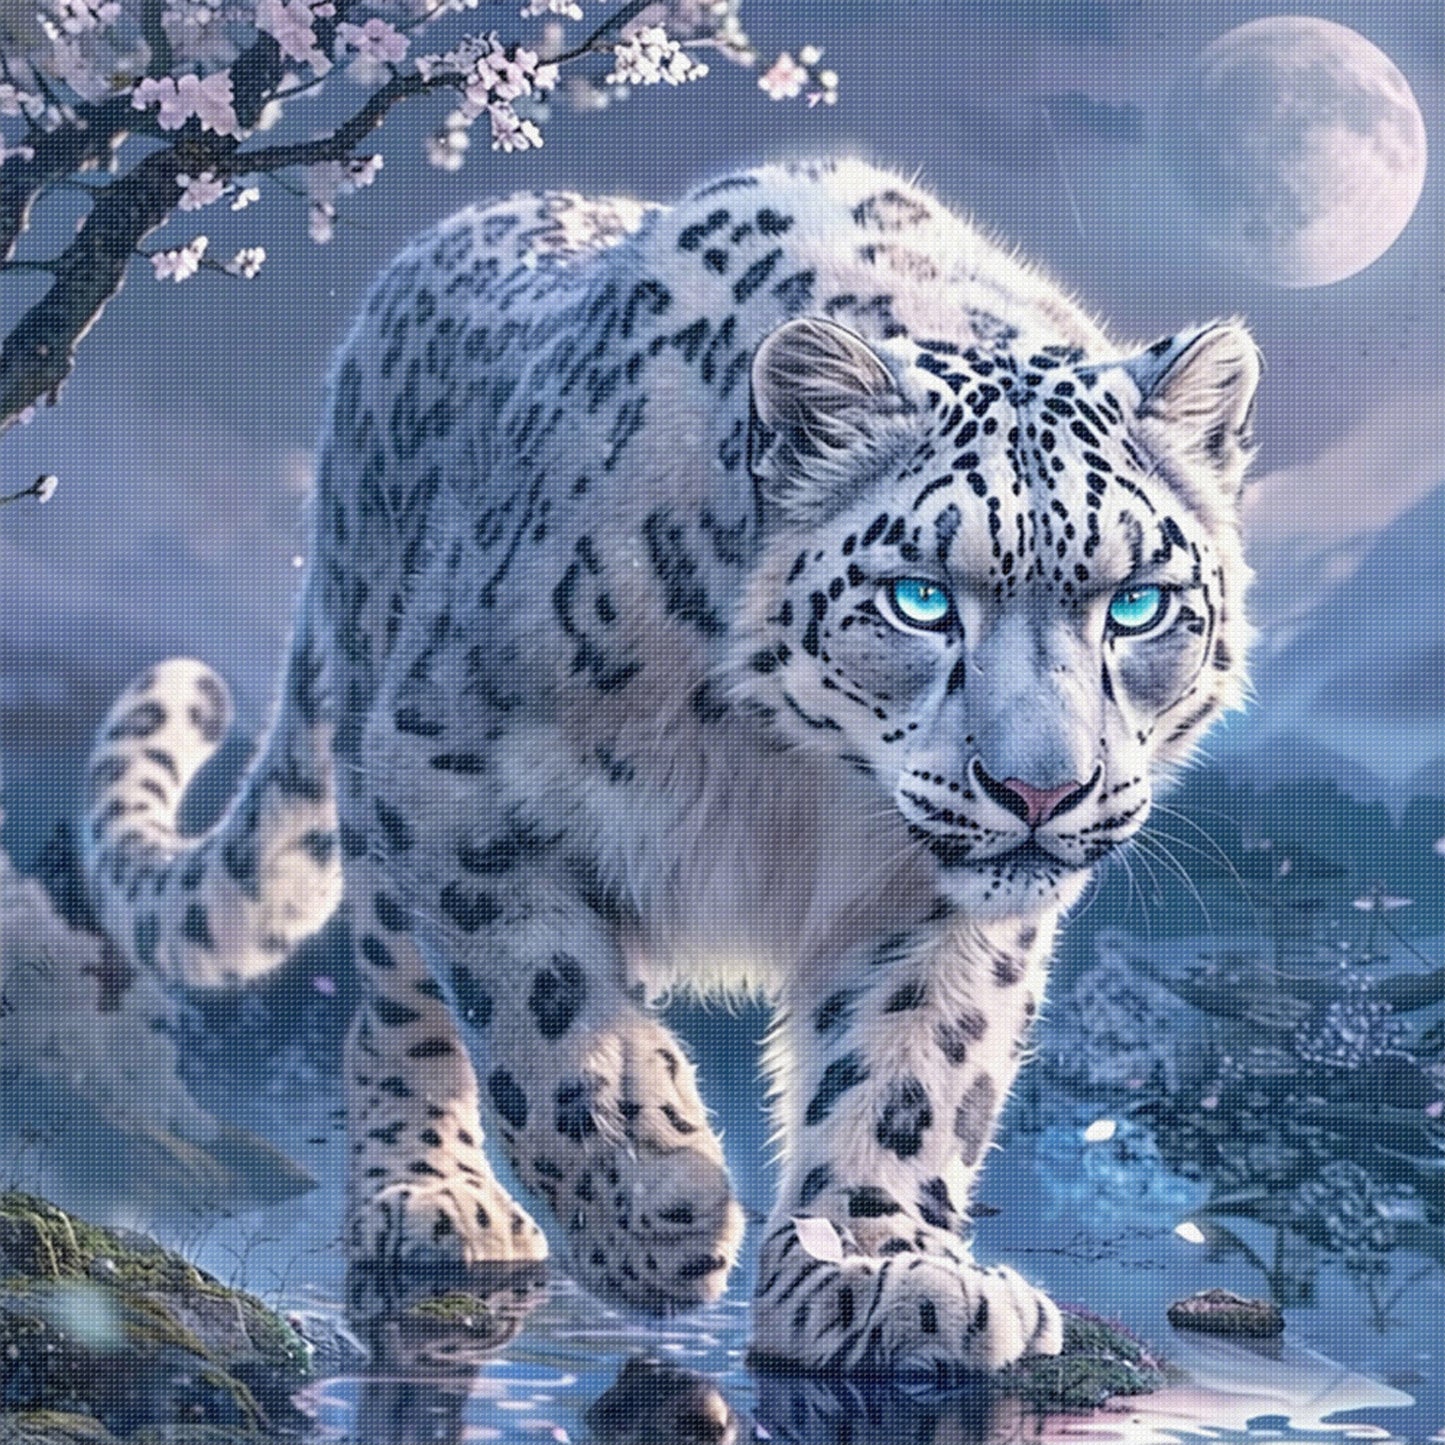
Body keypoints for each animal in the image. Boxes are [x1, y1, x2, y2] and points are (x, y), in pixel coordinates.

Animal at [82, 157, 1257, 1376]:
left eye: (1137, 603)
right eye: (921, 598)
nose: (1038, 791)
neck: (792, 775)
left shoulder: (930, 898)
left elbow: (913, 1068)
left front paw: (879, 1270)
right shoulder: (449, 777)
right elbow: (541, 1008)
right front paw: (654, 1208)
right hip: (372, 756)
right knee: (395, 998)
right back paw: (435, 1196)